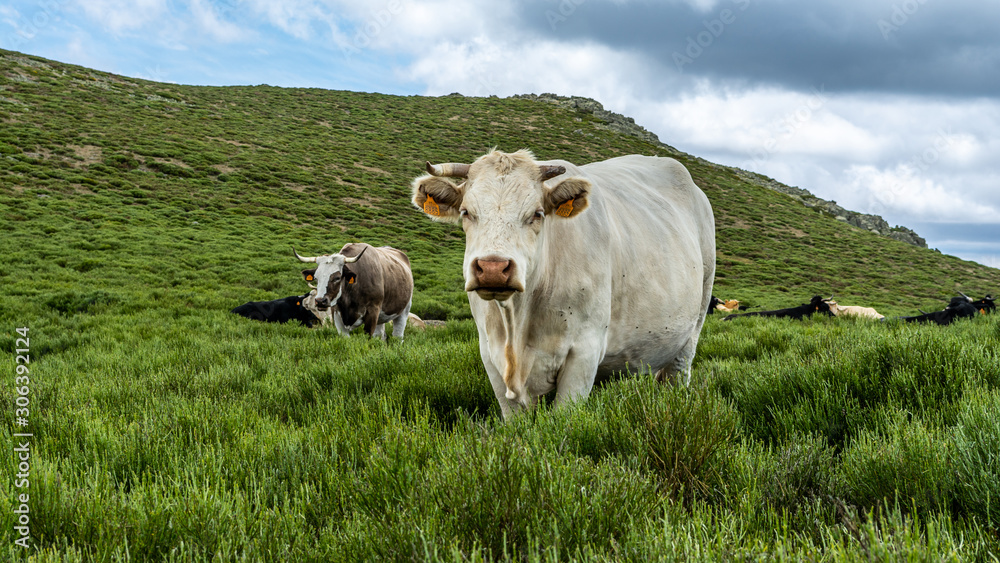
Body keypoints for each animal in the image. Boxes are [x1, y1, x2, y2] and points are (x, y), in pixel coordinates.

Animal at [410, 149, 716, 418]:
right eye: (466, 212)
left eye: (536, 213)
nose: (493, 268)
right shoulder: (490, 354)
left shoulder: (584, 352)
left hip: (692, 331)